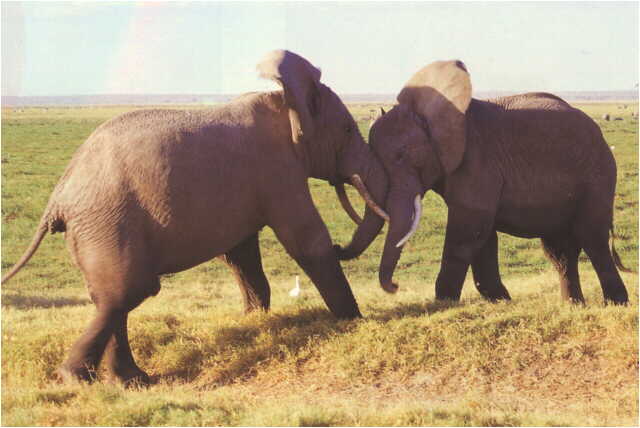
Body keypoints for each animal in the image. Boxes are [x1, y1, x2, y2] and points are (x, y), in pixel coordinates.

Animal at [1, 50, 390, 386]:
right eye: (348, 131)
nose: (343, 245)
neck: (282, 99)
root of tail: (58, 197)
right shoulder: (278, 170)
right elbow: (305, 238)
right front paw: (353, 320)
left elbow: (241, 253)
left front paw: (253, 320)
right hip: (107, 221)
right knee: (128, 291)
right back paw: (77, 378)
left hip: (95, 227)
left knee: (111, 296)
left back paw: (130, 382)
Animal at [338, 59, 629, 305]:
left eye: (401, 156)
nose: (396, 286)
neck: (426, 112)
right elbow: (482, 236)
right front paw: (500, 301)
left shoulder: (477, 161)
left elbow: (468, 231)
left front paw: (443, 304)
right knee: (560, 250)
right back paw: (573, 306)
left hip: (598, 176)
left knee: (592, 238)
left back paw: (615, 304)